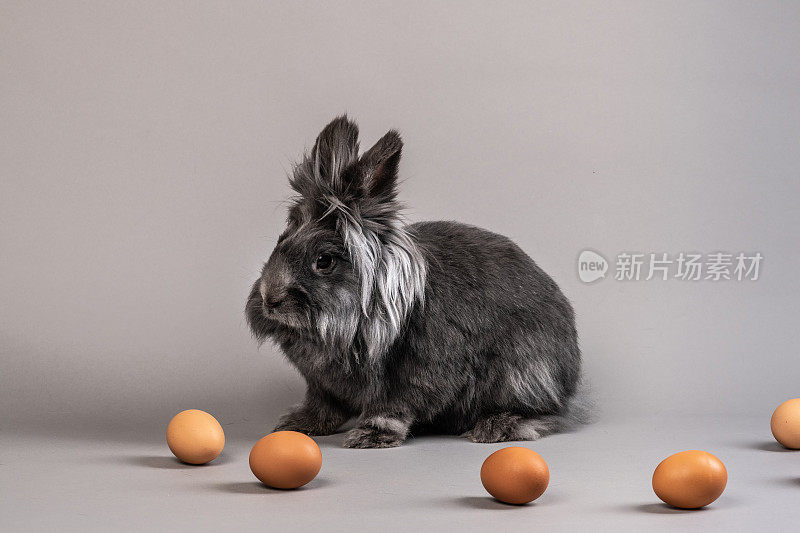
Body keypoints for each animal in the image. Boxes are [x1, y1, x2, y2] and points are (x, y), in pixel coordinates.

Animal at [247, 115, 584, 444]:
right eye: (280, 241)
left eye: (324, 261)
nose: (269, 299)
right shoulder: (321, 385)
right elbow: (322, 406)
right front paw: (297, 425)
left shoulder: (414, 377)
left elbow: (392, 408)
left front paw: (370, 435)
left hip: (522, 376)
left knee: (545, 414)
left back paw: (496, 427)